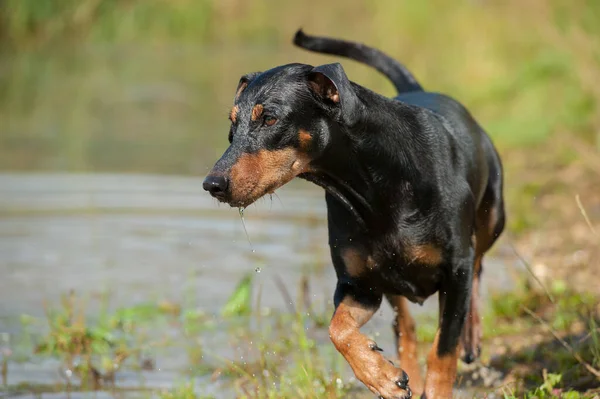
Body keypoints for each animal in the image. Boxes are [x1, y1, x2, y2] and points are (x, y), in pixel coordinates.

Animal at [204, 29, 504, 398]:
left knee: (477, 265)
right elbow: (338, 328)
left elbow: (443, 350)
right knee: (404, 324)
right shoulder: (360, 285)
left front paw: (432, 381)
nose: (212, 184)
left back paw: (471, 336)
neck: (377, 187)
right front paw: (382, 376)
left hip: (492, 217)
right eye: (232, 125)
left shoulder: (454, 269)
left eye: (270, 118)